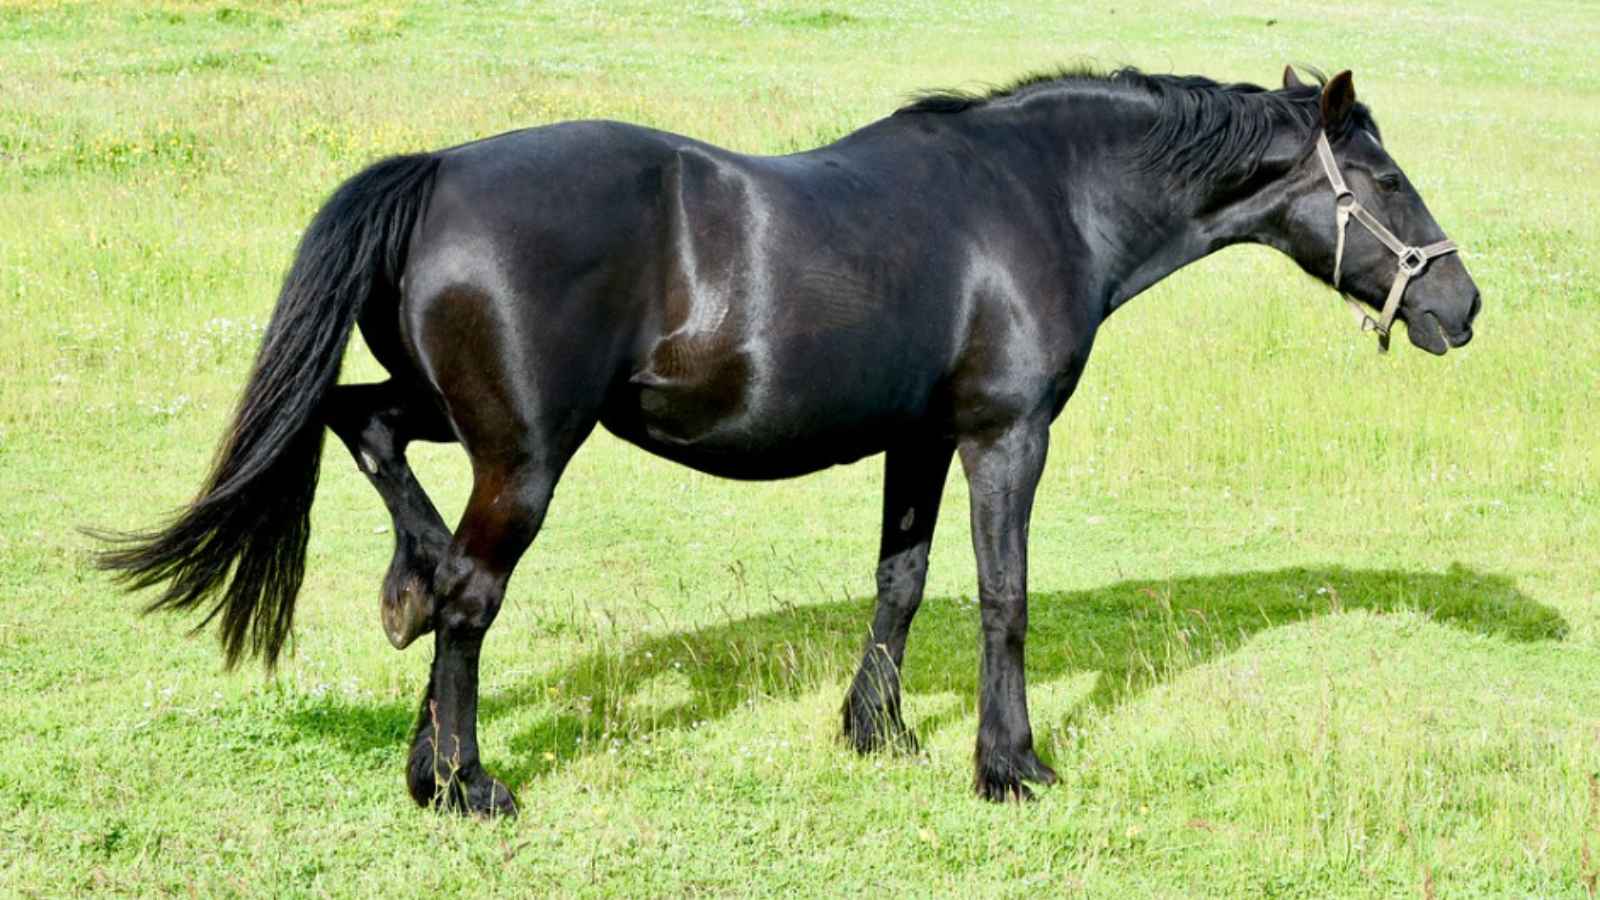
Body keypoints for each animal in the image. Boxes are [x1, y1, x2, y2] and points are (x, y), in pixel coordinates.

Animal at [96, 65, 1479, 814]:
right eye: (1388, 181)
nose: (1460, 308)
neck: (1041, 199)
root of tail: (437, 170)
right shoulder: (1004, 437)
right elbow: (1005, 598)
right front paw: (1009, 766)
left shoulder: (919, 442)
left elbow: (902, 582)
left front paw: (880, 734)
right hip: (530, 455)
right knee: (472, 600)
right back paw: (467, 781)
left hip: (465, 416)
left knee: (364, 431)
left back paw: (409, 628)